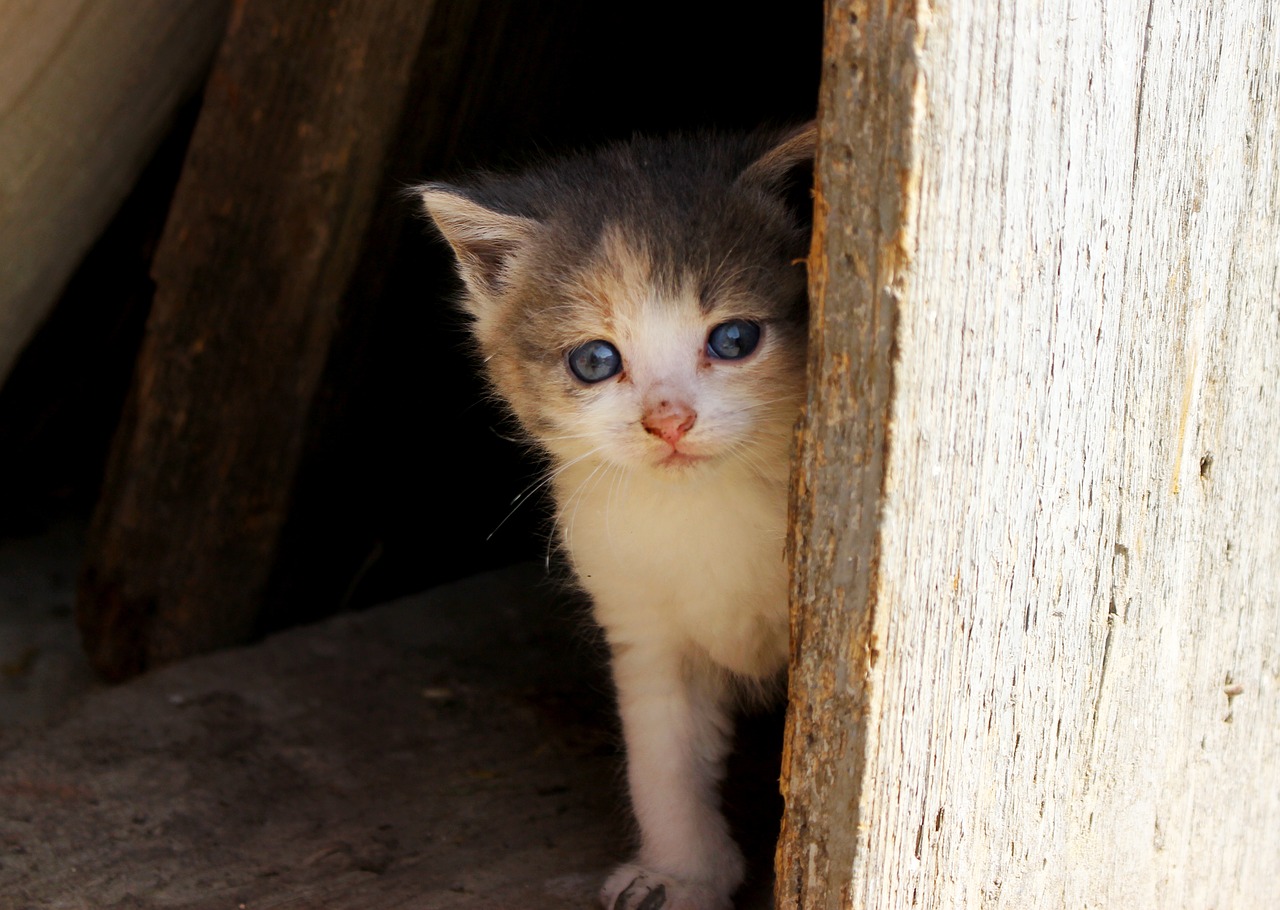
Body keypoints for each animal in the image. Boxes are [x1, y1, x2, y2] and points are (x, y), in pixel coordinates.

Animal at [422, 126, 819, 910]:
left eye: (734, 341)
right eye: (595, 360)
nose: (668, 419)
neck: (703, 508)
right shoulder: (642, 625)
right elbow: (663, 758)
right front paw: (682, 873)